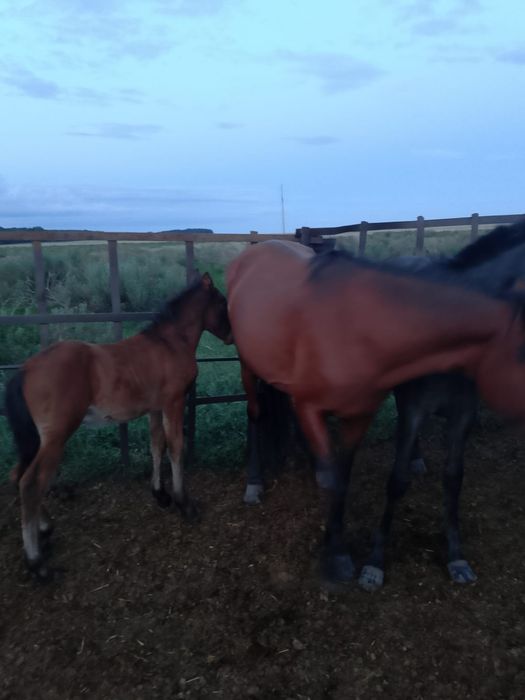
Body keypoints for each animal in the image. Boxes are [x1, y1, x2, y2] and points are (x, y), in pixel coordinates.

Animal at [5, 272, 232, 581]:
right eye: (222, 302)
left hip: (35, 440)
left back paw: (45, 530)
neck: (169, 343)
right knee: (30, 483)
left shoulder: (155, 408)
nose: (231, 336)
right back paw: (38, 564)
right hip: (55, 437)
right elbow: (175, 447)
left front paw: (161, 494)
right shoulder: (174, 402)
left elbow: (156, 445)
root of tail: (25, 369)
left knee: (18, 474)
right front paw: (184, 503)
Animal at [227, 239, 525, 585]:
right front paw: (337, 558)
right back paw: (254, 482)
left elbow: (342, 480)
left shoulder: (360, 416)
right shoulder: (315, 408)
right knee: (255, 414)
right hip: (247, 365)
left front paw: (337, 550)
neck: (358, 327)